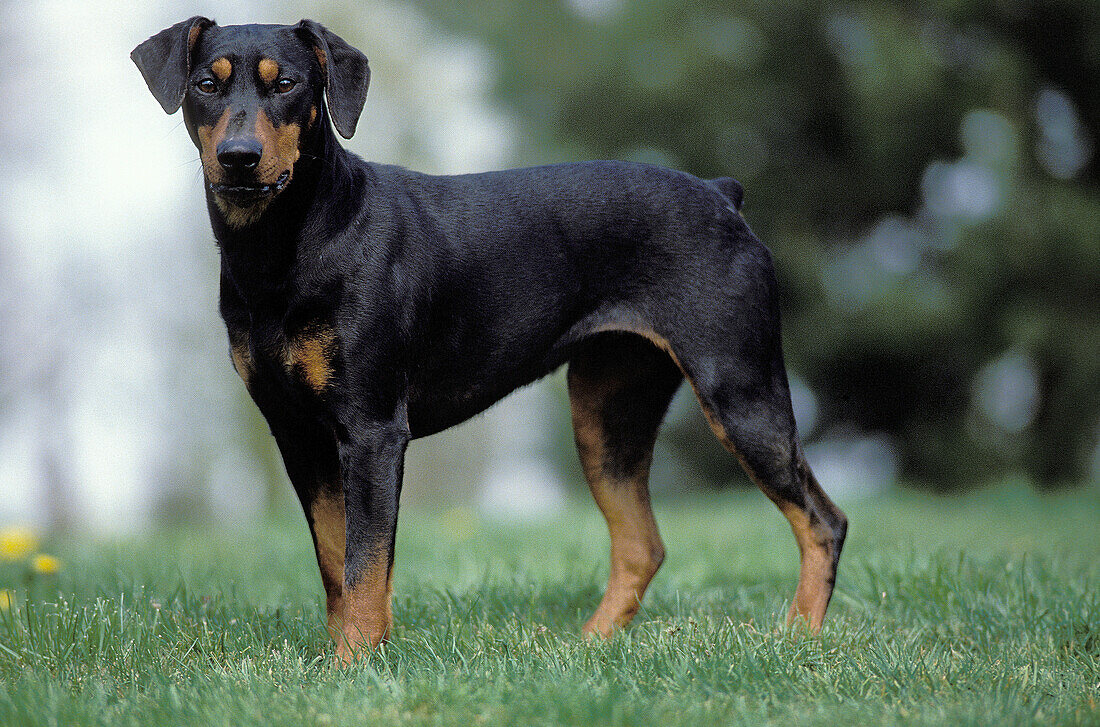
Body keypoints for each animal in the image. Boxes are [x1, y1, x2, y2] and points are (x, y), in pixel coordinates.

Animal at [130, 18, 849, 664]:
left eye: (289, 85)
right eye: (206, 83)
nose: (239, 157)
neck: (286, 245)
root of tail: (721, 195)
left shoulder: (372, 429)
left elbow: (365, 563)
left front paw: (354, 667)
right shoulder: (298, 435)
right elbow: (336, 562)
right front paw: (345, 659)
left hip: (739, 390)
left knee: (822, 520)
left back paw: (797, 636)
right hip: (606, 415)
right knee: (642, 544)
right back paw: (588, 648)